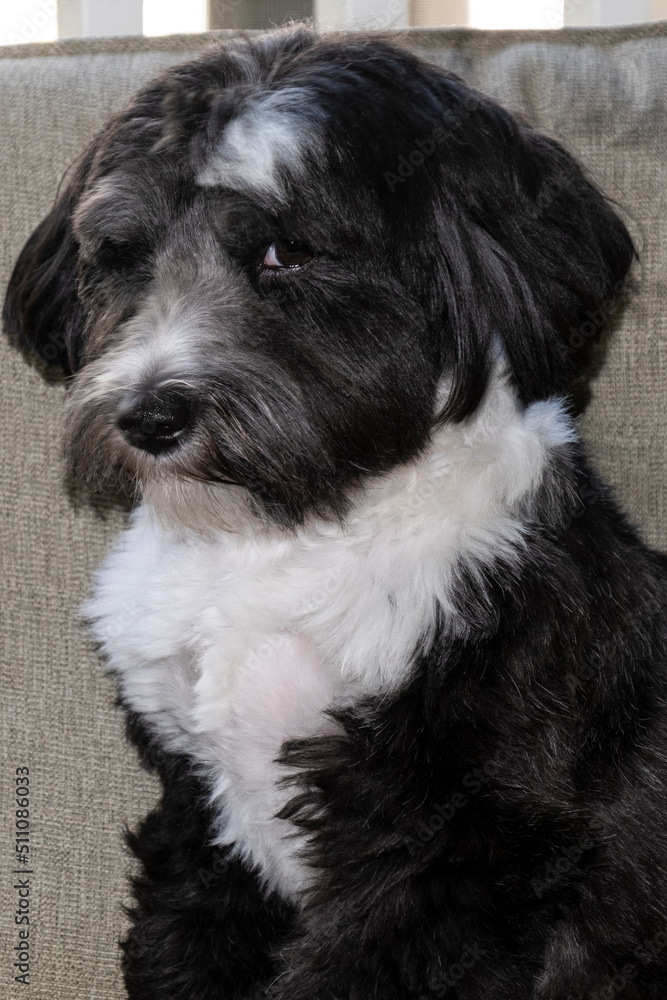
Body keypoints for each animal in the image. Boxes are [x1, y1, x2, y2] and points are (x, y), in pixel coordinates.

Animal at [5, 25, 667, 1000]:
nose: (149, 416)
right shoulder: (198, 826)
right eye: (121, 255)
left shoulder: (455, 853)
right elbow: (181, 943)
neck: (281, 536)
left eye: (284, 253)